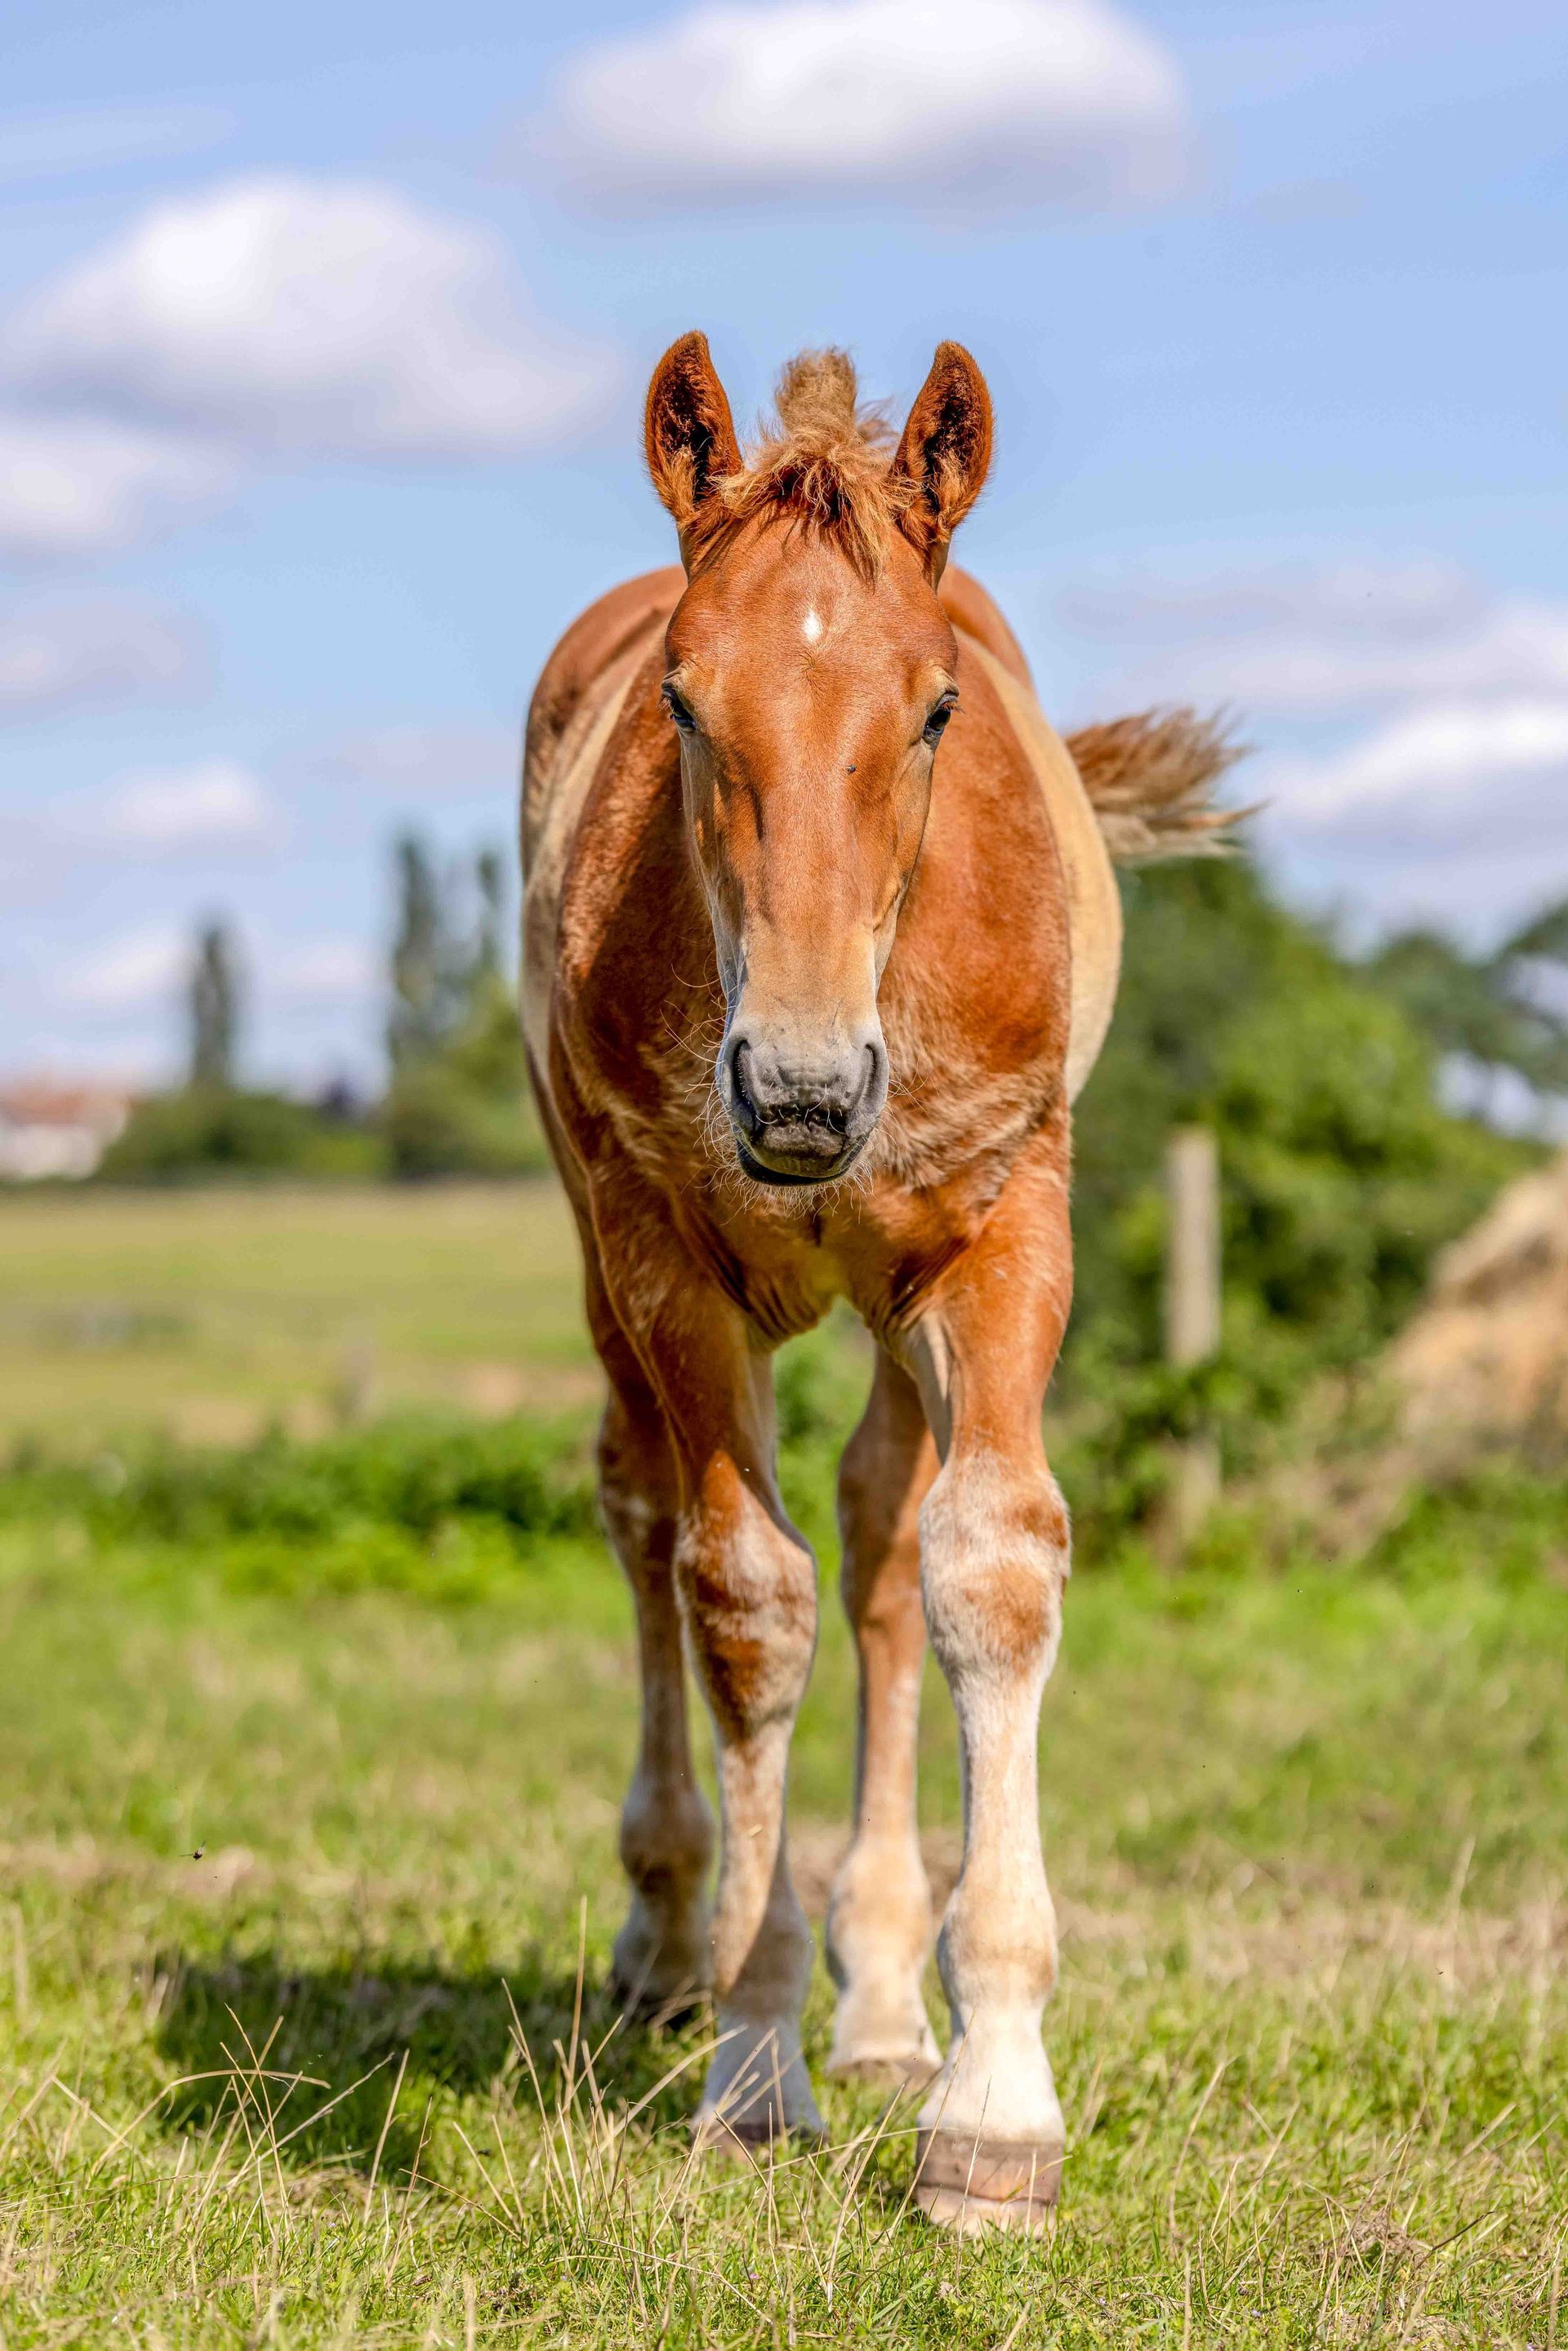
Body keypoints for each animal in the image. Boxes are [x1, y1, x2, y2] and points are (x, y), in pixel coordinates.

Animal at [521, 335, 1231, 2230]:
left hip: (904, 1305)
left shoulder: (1003, 1227)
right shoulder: (666, 1247)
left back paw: (891, 1996)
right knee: (643, 1515)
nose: (801, 1094)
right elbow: (741, 1594)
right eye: (684, 704)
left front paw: (992, 2106)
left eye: (932, 710)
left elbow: (989, 1563)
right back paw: (670, 1933)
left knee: (889, 1537)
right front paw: (755, 2055)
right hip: (603, 1247)